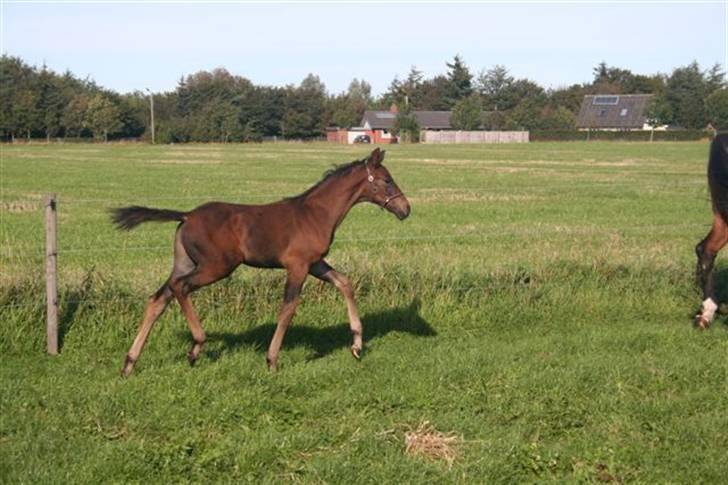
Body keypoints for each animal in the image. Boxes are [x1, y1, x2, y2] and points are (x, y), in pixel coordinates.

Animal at [112, 147, 410, 374]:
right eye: (387, 180)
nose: (406, 209)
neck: (316, 213)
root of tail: (186, 215)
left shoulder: (315, 264)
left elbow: (345, 283)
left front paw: (357, 346)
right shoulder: (298, 265)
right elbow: (288, 309)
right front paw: (272, 360)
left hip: (185, 263)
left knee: (158, 298)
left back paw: (129, 363)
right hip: (216, 267)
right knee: (180, 288)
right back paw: (196, 346)